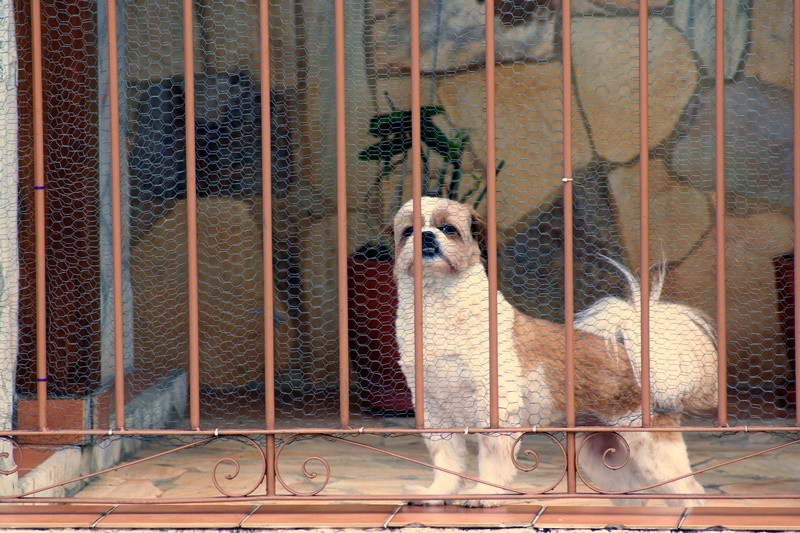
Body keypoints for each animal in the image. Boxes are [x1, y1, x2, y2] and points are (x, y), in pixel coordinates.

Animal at [390, 196, 716, 508]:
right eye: (408, 231)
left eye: (448, 229)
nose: (426, 236)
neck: (439, 306)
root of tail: (633, 358)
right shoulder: (435, 414)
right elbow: (446, 461)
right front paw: (437, 493)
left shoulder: (496, 409)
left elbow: (492, 459)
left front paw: (485, 494)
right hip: (600, 452)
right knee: (635, 493)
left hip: (651, 445)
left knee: (688, 490)